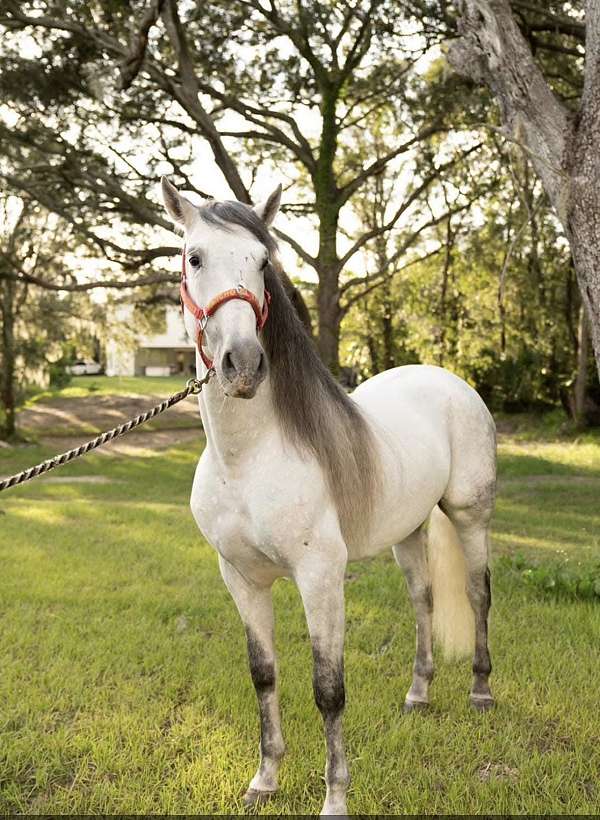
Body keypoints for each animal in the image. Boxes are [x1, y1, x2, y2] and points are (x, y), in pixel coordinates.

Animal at [161, 177, 496, 816]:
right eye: (194, 258)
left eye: (263, 262)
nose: (244, 365)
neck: (248, 458)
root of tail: (447, 378)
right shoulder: (241, 578)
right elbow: (264, 675)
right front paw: (265, 779)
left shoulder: (319, 576)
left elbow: (328, 688)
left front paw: (335, 797)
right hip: (408, 532)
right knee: (423, 600)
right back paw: (418, 694)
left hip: (470, 516)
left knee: (476, 593)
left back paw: (481, 691)